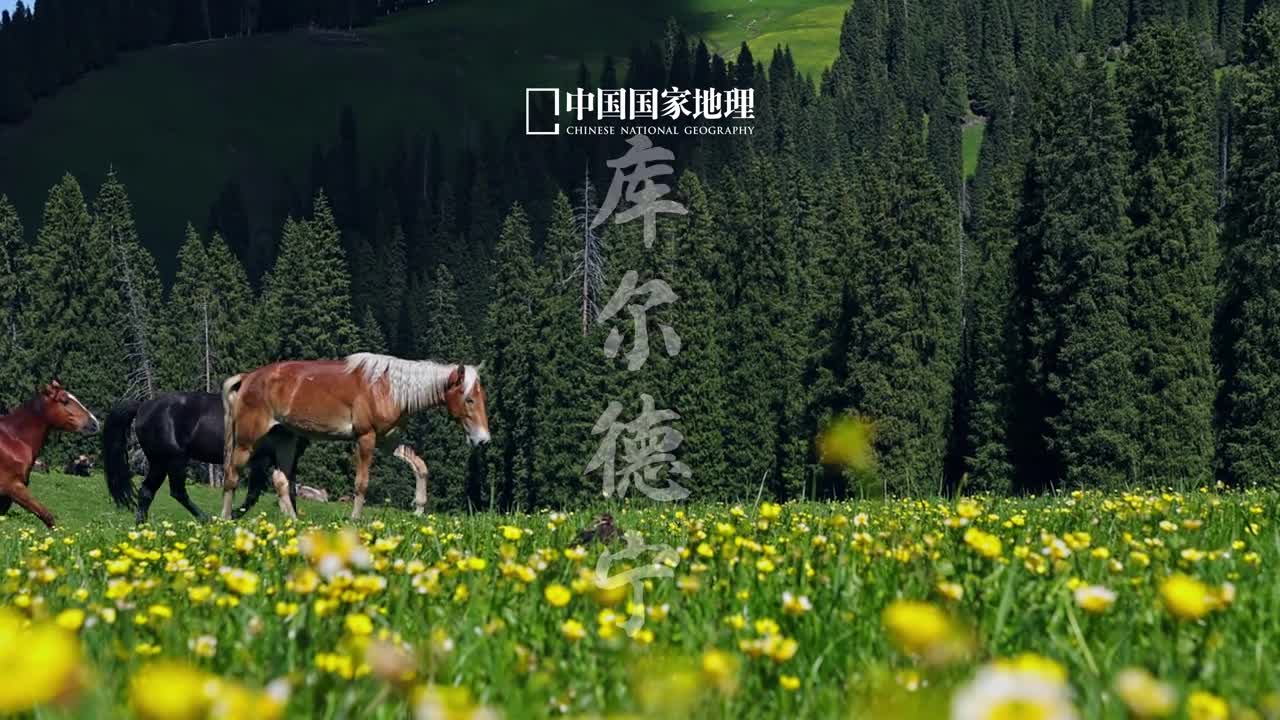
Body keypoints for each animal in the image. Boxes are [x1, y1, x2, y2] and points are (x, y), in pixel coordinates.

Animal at [221, 353, 490, 521]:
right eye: (469, 399)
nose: (483, 440)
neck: (388, 388)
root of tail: (247, 378)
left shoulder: (387, 441)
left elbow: (420, 467)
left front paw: (419, 509)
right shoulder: (365, 438)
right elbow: (362, 483)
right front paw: (355, 519)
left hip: (285, 438)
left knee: (281, 481)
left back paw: (294, 523)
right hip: (246, 441)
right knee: (232, 476)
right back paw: (224, 519)